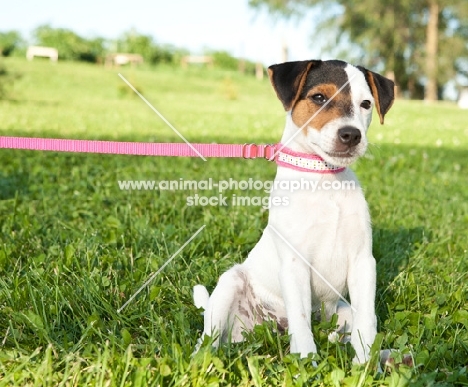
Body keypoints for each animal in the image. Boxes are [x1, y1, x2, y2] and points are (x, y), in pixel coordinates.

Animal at [194, 59, 394, 366]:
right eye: (319, 97)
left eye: (366, 104)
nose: (351, 135)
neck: (324, 178)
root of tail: (271, 324)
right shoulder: (294, 264)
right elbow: (301, 324)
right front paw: (307, 365)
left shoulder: (362, 262)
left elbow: (367, 320)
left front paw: (365, 364)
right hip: (230, 285)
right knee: (208, 338)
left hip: (341, 310)